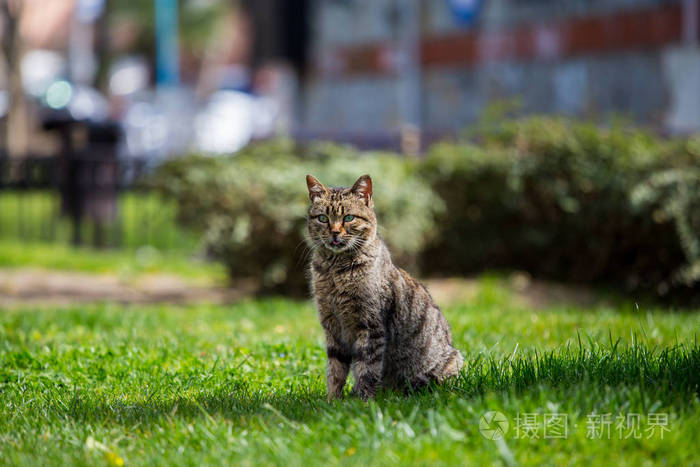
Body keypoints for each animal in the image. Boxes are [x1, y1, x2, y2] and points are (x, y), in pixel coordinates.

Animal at [304, 174, 460, 400]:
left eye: (349, 218)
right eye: (323, 218)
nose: (334, 232)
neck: (336, 271)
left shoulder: (370, 326)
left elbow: (367, 369)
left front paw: (362, 400)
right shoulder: (332, 326)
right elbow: (335, 370)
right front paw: (333, 401)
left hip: (450, 364)